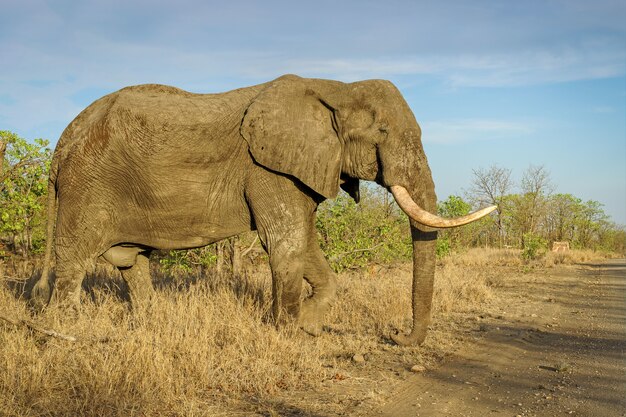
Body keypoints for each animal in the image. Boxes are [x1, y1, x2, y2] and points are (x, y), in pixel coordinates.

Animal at [31, 74, 492, 344]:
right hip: (88, 186)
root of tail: (62, 142)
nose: (397, 336)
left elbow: (304, 242)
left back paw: (146, 326)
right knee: (74, 261)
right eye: (381, 130)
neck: (335, 87)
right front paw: (289, 335)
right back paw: (63, 333)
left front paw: (310, 325)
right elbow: (285, 241)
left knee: (132, 262)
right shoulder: (268, 168)